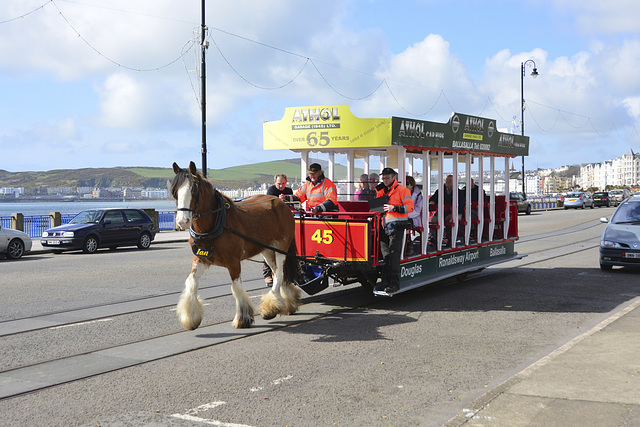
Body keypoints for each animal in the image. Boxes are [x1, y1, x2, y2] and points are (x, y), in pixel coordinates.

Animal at [170, 162, 300, 330]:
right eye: (175, 192)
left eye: (194, 190)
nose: (182, 221)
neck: (216, 223)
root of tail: (281, 202)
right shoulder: (201, 259)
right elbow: (191, 282)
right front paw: (190, 318)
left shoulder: (233, 262)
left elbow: (236, 288)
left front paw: (242, 318)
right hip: (267, 249)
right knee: (278, 271)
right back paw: (286, 302)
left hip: (281, 246)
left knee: (279, 273)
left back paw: (271, 306)